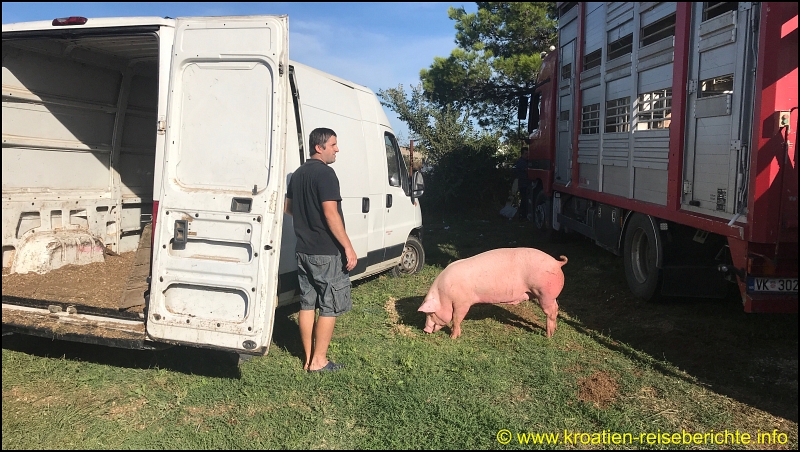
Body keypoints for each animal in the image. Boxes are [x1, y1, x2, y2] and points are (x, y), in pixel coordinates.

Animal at [418, 247, 568, 340]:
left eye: (430, 313)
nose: (425, 330)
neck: (444, 294)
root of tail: (557, 263)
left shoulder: (463, 302)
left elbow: (456, 318)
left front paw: (452, 338)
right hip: (549, 296)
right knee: (556, 309)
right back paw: (555, 330)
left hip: (545, 294)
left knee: (551, 312)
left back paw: (549, 335)